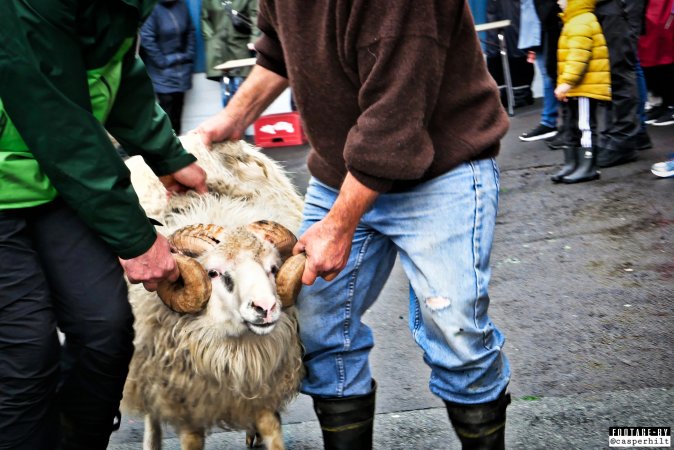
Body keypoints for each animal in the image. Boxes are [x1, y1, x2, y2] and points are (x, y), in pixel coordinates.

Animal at [122, 137, 306, 450]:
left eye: (273, 268)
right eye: (214, 273)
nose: (266, 308)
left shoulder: (263, 387)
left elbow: (272, 429)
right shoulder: (184, 398)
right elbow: (191, 439)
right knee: (151, 415)